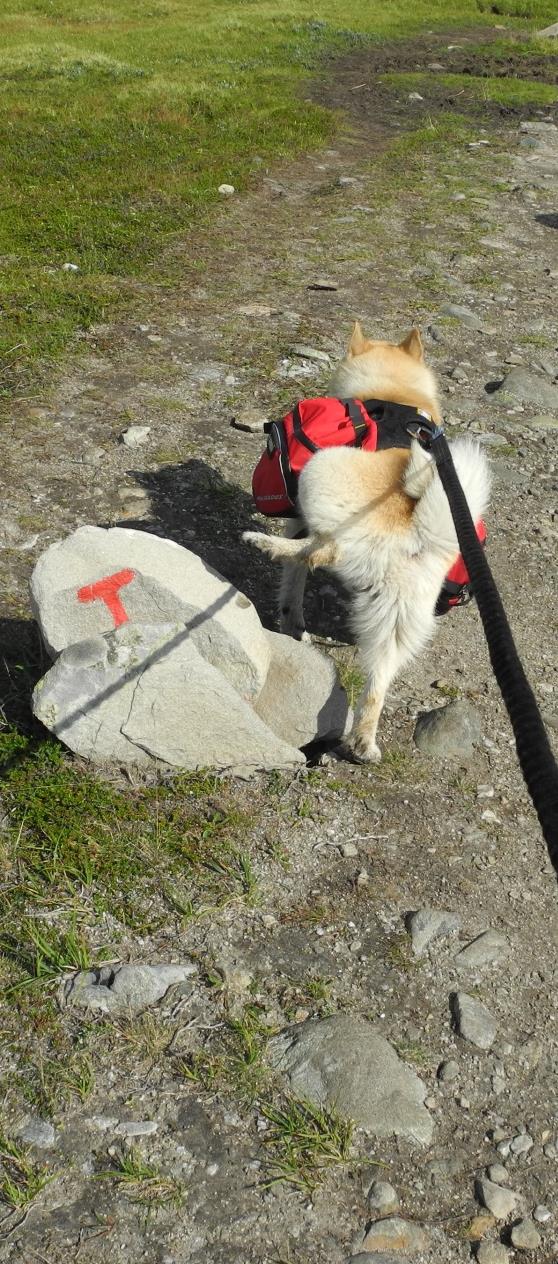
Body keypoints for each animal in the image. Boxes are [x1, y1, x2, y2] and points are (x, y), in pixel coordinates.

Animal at [241, 321, 488, 763]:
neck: (394, 394)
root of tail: (416, 530)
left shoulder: (297, 518)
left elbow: (293, 583)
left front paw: (291, 621)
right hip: (399, 621)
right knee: (377, 685)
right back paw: (363, 743)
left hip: (322, 474)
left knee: (321, 550)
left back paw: (262, 542)